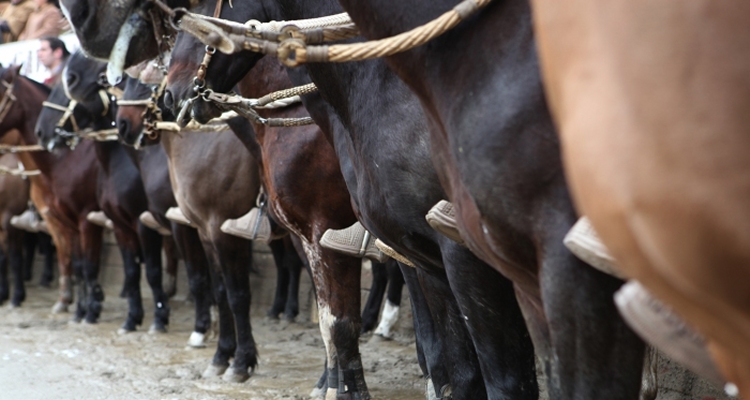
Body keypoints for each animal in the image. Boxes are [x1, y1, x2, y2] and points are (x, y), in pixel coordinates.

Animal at [0, 65, 107, 322]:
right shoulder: (58, 220)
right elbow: (70, 260)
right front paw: (70, 303)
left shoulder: (86, 220)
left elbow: (86, 264)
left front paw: (90, 309)